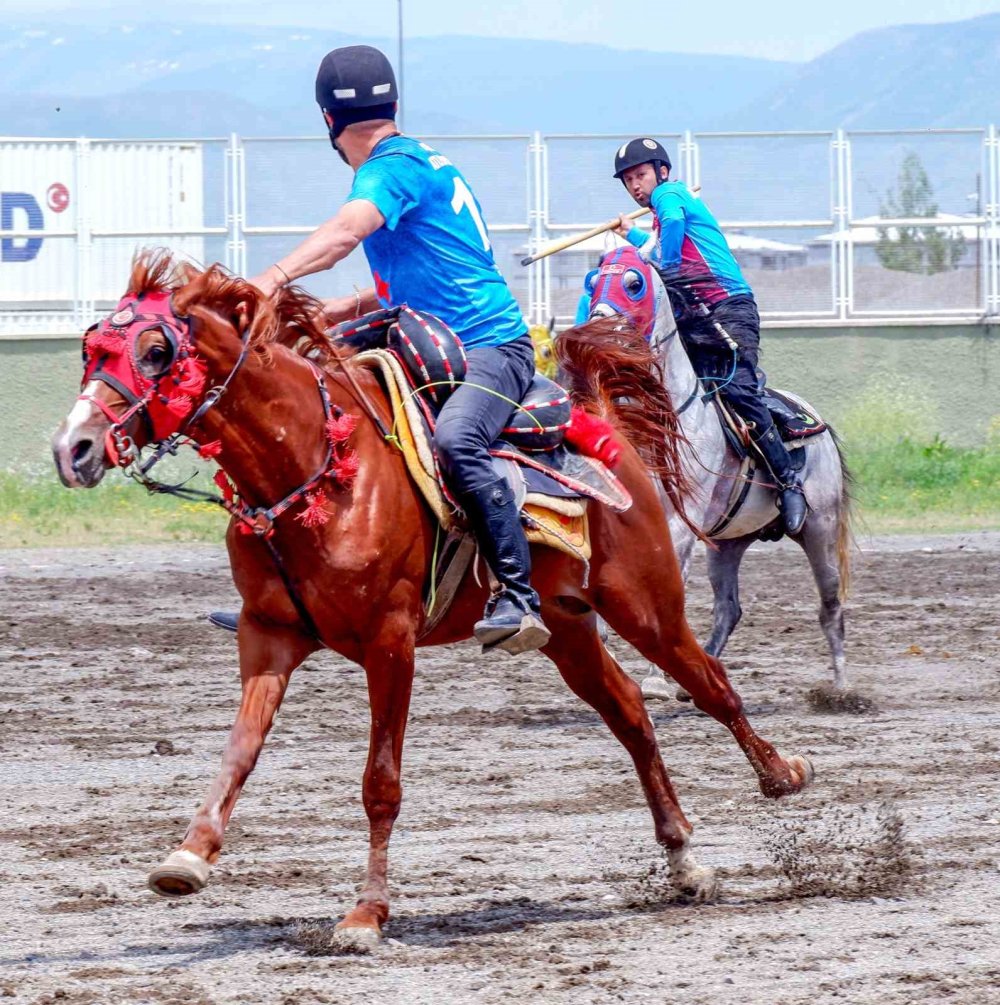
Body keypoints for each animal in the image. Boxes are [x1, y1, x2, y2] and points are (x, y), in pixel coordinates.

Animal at [50, 255, 812, 944]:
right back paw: (683, 860)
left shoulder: (390, 644)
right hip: (567, 630)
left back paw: (782, 775)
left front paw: (364, 915)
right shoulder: (267, 635)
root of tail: (605, 429)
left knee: (710, 684)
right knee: (629, 713)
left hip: (647, 606)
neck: (317, 464)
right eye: (91, 349)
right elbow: (239, 749)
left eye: (156, 351)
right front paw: (188, 855)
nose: (74, 447)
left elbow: (380, 783)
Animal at [586, 245, 852, 699]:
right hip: (727, 543)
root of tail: (813, 418)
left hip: (820, 527)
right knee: (729, 608)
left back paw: (841, 689)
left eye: (634, 283)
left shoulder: (679, 523)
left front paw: (654, 678)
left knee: (830, 606)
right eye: (593, 281)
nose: (600, 325)